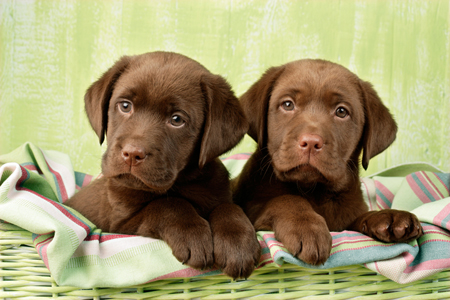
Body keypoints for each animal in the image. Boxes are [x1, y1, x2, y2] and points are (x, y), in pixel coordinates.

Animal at [64, 51, 260, 278]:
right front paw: (193, 234)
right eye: (125, 106)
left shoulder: (219, 192)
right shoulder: (119, 226)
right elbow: (167, 204)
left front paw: (237, 244)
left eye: (176, 119)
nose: (132, 154)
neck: (182, 182)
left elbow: (229, 207)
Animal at [234, 59, 424, 266]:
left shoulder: (346, 222)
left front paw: (390, 216)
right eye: (287, 104)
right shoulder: (254, 210)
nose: (310, 142)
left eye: (341, 111)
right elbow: (286, 199)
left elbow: (359, 219)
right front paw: (306, 227)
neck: (314, 191)